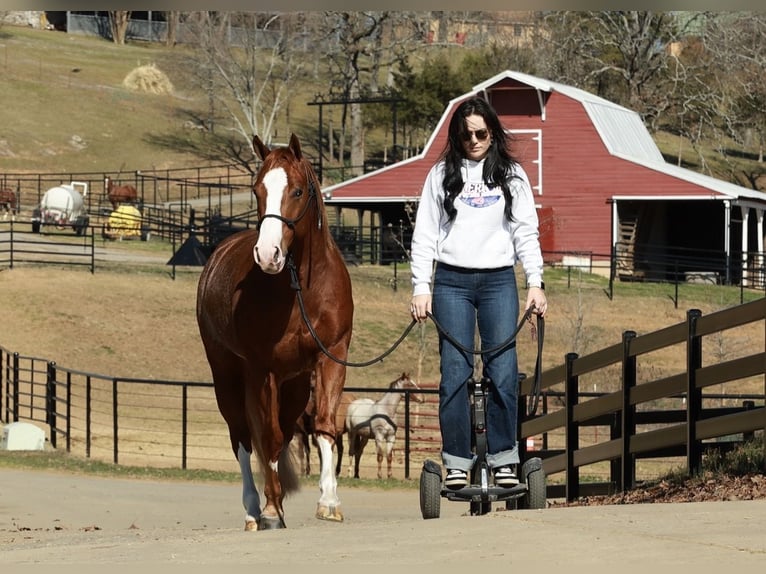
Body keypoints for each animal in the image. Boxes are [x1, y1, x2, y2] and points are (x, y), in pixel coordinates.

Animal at [196, 133, 354, 531]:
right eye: (257, 190)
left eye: (297, 191)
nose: (268, 255)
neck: (302, 291)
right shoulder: (261, 370)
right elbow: (267, 437)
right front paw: (270, 509)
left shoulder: (332, 357)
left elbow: (324, 427)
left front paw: (329, 501)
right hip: (227, 377)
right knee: (242, 437)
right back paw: (256, 508)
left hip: (294, 385)